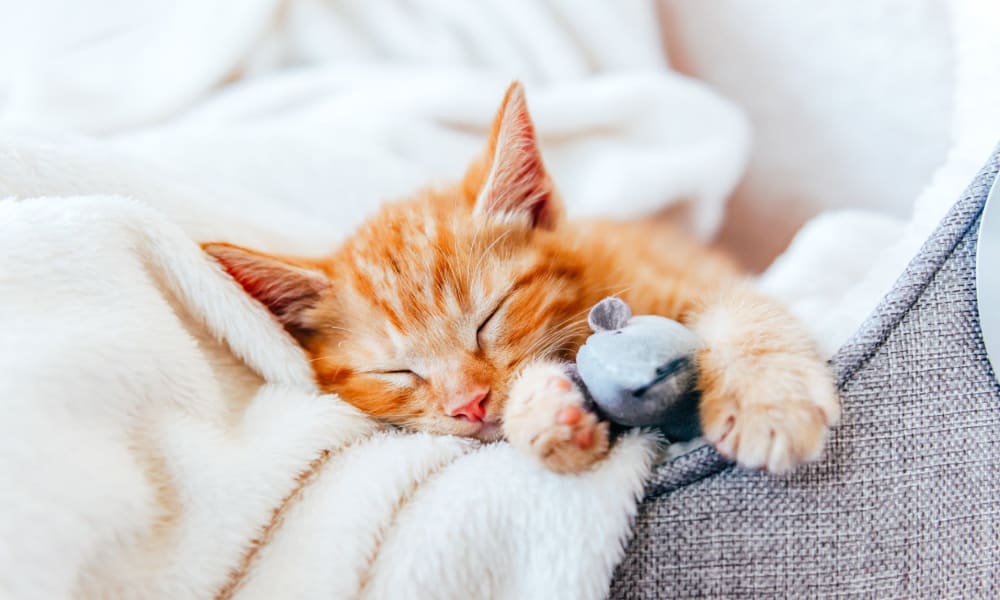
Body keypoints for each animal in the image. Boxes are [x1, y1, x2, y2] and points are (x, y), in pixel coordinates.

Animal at [203, 81, 836, 474]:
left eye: (489, 317)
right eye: (396, 371)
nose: (469, 405)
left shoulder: (696, 279)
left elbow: (744, 312)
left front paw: (769, 401)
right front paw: (547, 417)